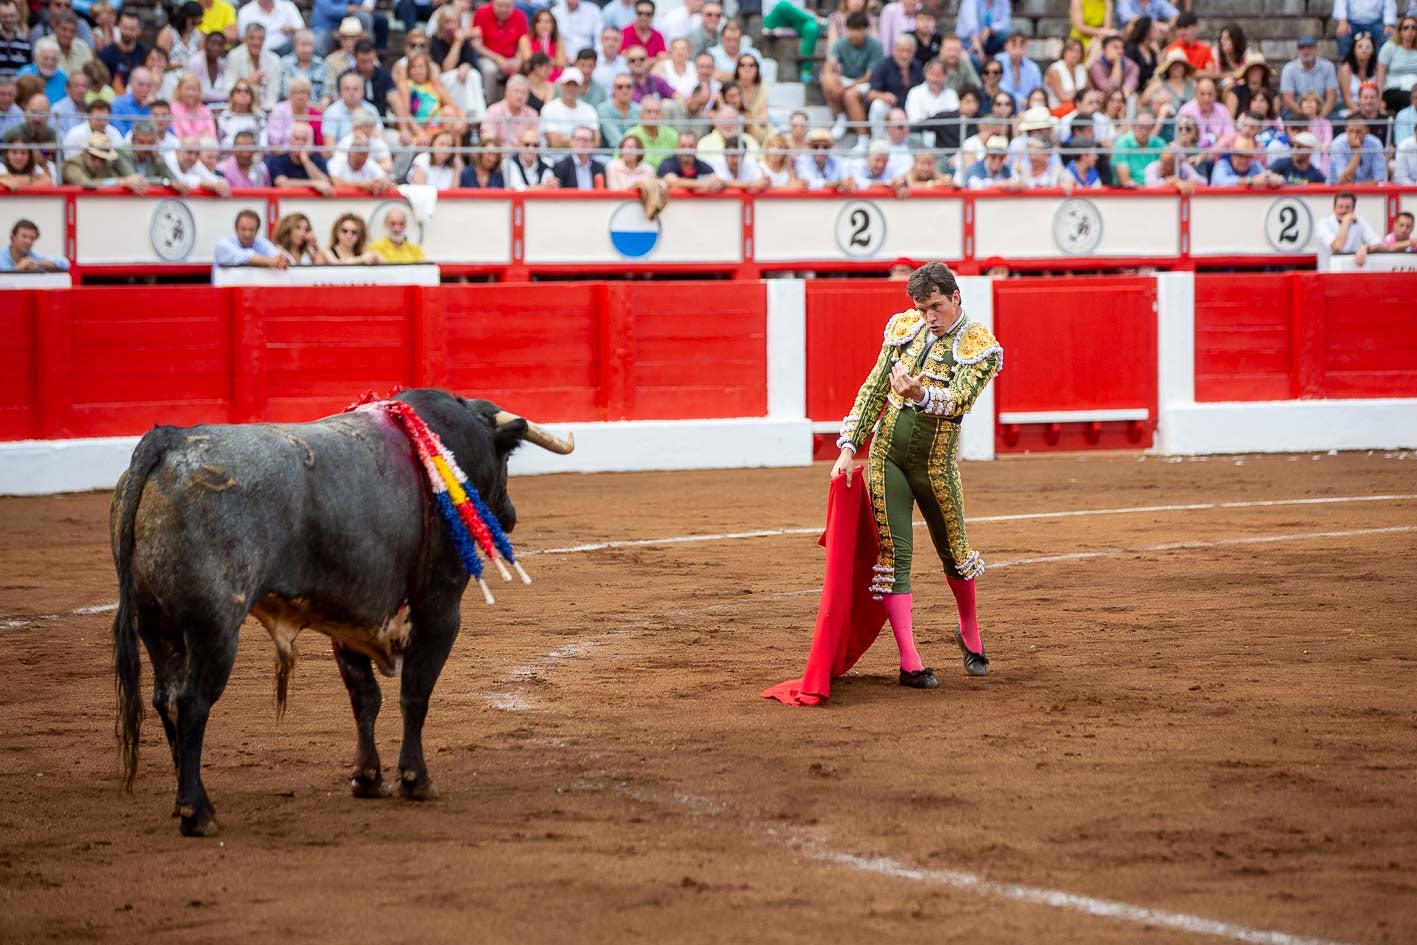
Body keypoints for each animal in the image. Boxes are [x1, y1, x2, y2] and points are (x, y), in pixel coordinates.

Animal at [110, 388, 572, 838]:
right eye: (506, 460)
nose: (510, 516)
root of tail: (169, 441)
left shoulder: (348, 617)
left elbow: (364, 696)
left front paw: (367, 777)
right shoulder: (440, 608)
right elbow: (415, 693)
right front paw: (415, 779)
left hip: (157, 624)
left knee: (165, 699)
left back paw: (184, 800)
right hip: (214, 629)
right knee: (192, 703)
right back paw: (197, 812)